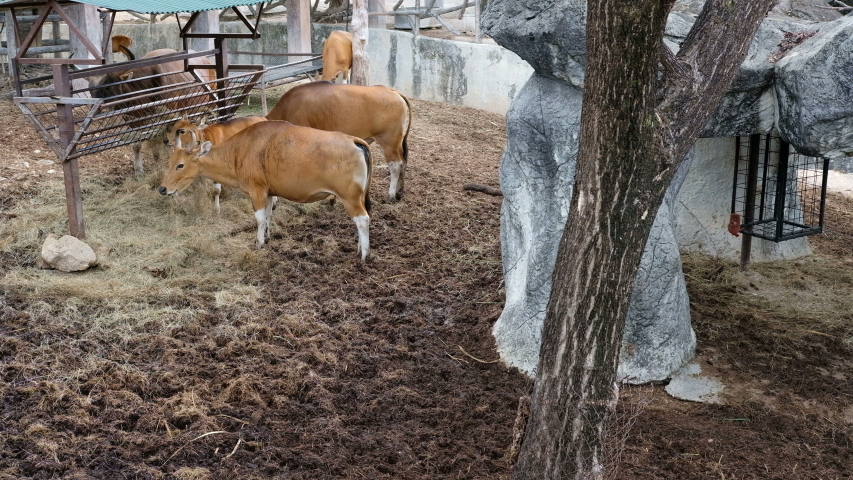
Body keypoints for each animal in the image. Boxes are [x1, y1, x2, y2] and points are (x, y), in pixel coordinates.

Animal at [93, 48, 216, 179]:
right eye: (100, 87)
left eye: (110, 88)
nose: (100, 111)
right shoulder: (135, 121)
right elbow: (136, 145)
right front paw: (139, 171)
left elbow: (159, 147)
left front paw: (158, 169)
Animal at [159, 121, 373, 260]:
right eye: (169, 162)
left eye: (180, 165)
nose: (162, 188)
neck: (239, 152)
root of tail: (355, 141)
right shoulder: (269, 192)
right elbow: (269, 215)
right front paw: (268, 237)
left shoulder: (257, 191)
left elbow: (260, 218)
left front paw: (259, 243)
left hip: (350, 197)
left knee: (363, 220)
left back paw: (363, 255)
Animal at [265, 81, 411, 203]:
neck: (288, 107)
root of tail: (394, 92)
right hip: (397, 143)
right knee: (403, 161)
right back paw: (399, 193)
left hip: (389, 142)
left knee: (396, 165)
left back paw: (391, 195)